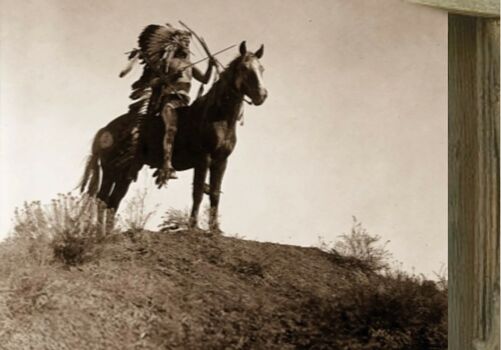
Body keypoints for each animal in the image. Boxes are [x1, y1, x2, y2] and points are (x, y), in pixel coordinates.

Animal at [79, 41, 266, 231]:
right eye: (244, 68)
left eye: (261, 68)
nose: (262, 95)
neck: (217, 116)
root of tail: (105, 129)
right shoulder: (203, 159)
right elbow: (198, 192)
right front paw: (193, 225)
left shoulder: (221, 161)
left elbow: (214, 193)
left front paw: (214, 229)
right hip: (110, 169)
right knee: (102, 198)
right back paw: (99, 232)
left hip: (126, 171)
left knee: (113, 201)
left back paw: (108, 232)